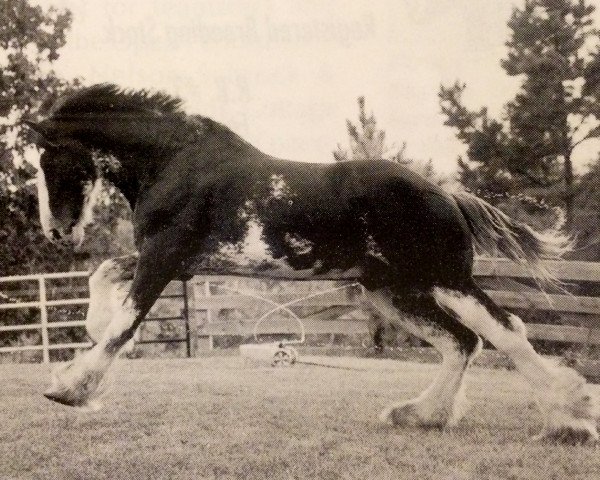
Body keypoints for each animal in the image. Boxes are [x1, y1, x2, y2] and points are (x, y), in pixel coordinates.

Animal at [28, 84, 600, 444]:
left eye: (48, 160)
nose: (57, 230)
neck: (174, 162)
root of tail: (447, 195)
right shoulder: (175, 263)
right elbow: (104, 279)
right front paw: (87, 335)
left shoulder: (163, 258)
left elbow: (124, 325)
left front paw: (69, 389)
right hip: (395, 291)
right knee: (462, 342)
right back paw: (419, 416)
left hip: (445, 280)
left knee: (504, 332)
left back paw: (569, 422)